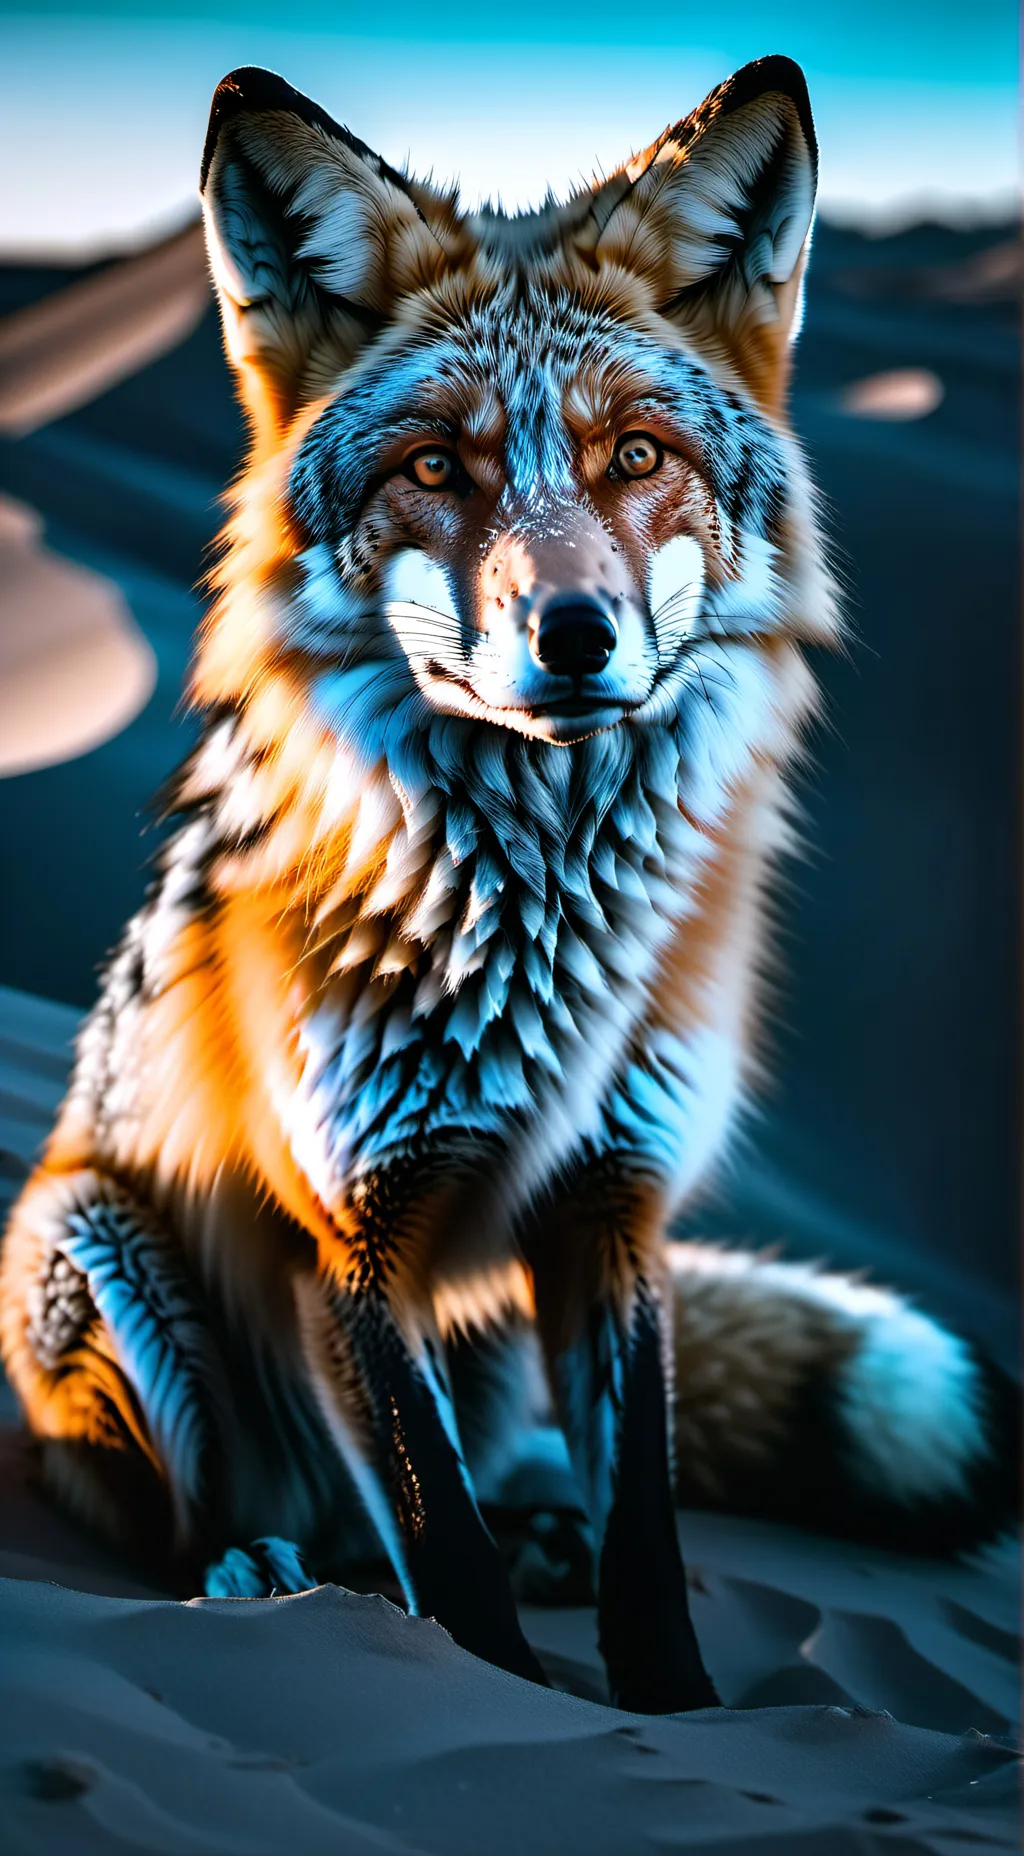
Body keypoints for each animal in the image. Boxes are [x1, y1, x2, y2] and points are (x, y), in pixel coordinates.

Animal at [1, 56, 1015, 1714]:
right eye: (436, 468)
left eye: (638, 457)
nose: (575, 635)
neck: (540, 938)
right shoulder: (349, 1243)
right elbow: (445, 1560)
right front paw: (484, 1689)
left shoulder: (615, 1209)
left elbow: (645, 1541)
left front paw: (670, 1715)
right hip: (102, 1253)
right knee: (235, 1522)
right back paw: (253, 1574)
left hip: (485, 1339)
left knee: (498, 1486)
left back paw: (524, 1534)